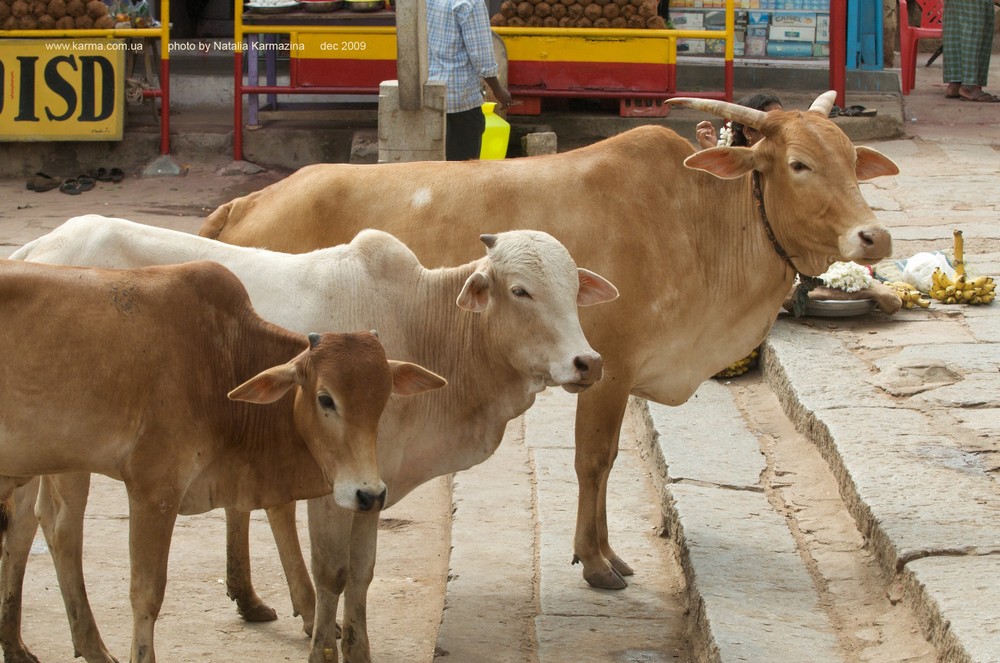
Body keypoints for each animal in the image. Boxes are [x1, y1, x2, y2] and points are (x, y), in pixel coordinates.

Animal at [0, 260, 446, 663]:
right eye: (325, 398)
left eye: (384, 400)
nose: (370, 494)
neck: (220, 358)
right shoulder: (153, 488)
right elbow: (146, 594)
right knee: (52, 530)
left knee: (50, 529)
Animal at [201, 91, 900, 600]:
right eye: (798, 164)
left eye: (850, 160)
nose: (874, 237)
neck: (696, 220)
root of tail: (249, 200)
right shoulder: (607, 371)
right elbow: (595, 461)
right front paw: (595, 562)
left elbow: (604, 464)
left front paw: (606, 552)